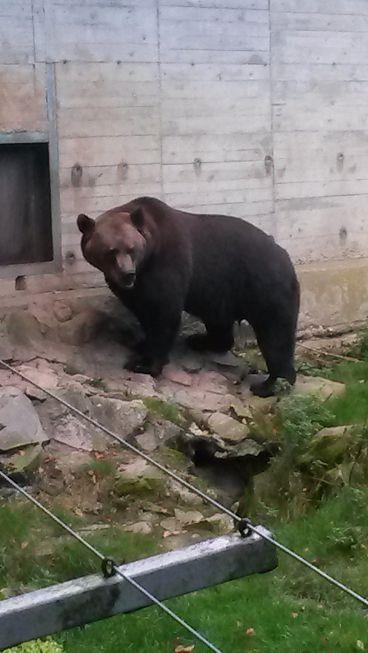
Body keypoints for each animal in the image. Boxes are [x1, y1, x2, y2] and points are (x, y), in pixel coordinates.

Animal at [77, 195, 300, 398]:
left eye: (131, 249)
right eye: (111, 251)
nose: (127, 274)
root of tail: (285, 255)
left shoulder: (168, 263)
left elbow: (163, 313)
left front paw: (144, 364)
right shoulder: (134, 287)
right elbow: (143, 310)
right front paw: (141, 343)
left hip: (265, 287)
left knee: (275, 335)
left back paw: (269, 384)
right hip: (222, 292)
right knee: (220, 323)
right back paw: (201, 340)